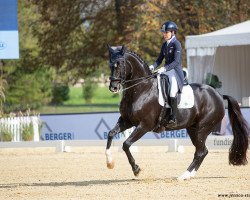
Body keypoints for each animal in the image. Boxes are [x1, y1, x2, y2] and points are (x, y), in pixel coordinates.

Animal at [104, 45, 249, 181]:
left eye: (121, 64)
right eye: (110, 65)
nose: (113, 87)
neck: (141, 89)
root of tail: (218, 95)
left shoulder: (144, 125)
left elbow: (126, 144)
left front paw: (136, 170)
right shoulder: (126, 121)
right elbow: (111, 134)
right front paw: (110, 163)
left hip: (202, 128)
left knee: (201, 151)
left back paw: (183, 176)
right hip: (192, 129)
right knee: (202, 151)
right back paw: (189, 175)